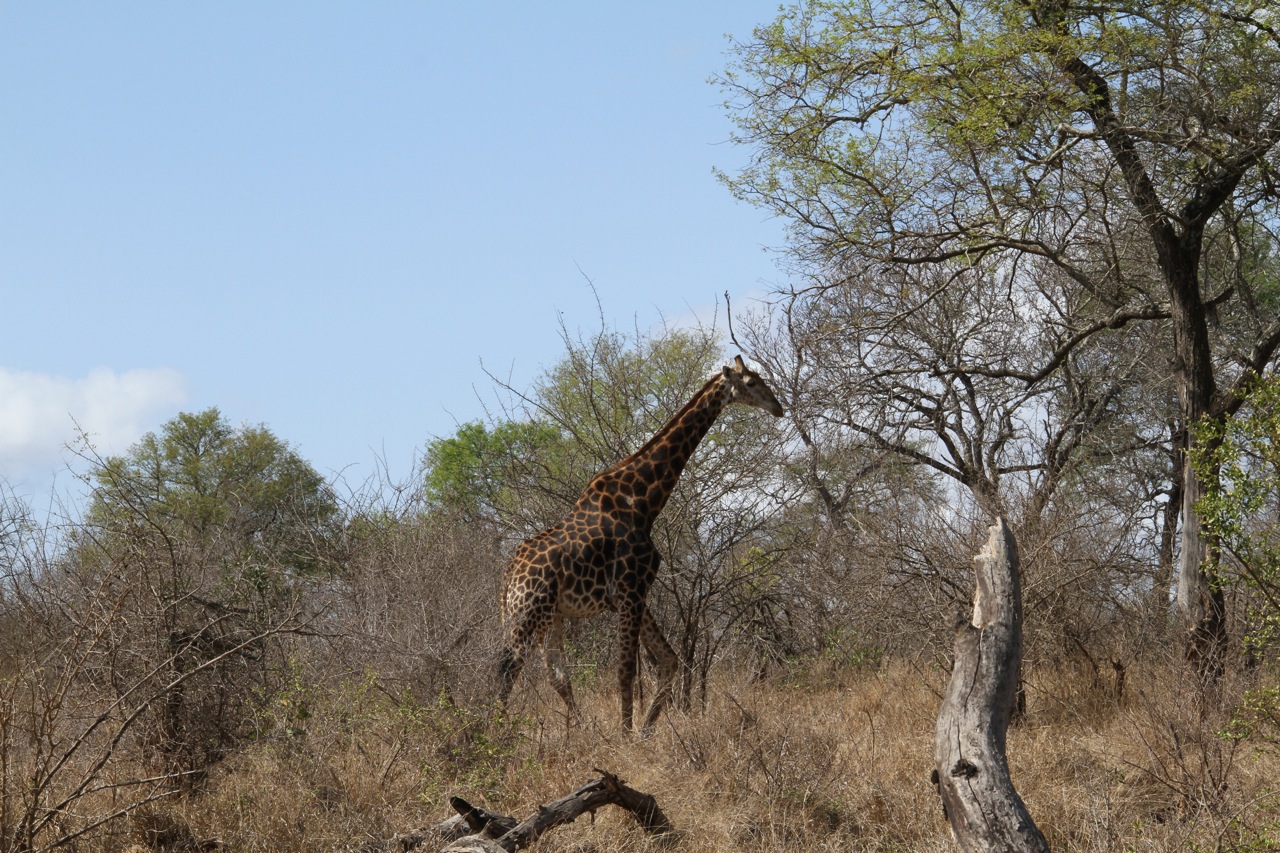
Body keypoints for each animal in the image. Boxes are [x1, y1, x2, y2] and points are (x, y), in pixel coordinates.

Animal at [496, 350, 778, 732]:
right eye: (751, 382)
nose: (778, 407)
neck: (643, 502)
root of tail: (509, 577)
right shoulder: (631, 589)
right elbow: (627, 671)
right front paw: (626, 734)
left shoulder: (632, 593)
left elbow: (669, 661)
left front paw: (644, 729)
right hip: (530, 610)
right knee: (507, 668)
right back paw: (491, 731)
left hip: (549, 614)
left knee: (556, 675)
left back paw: (575, 730)